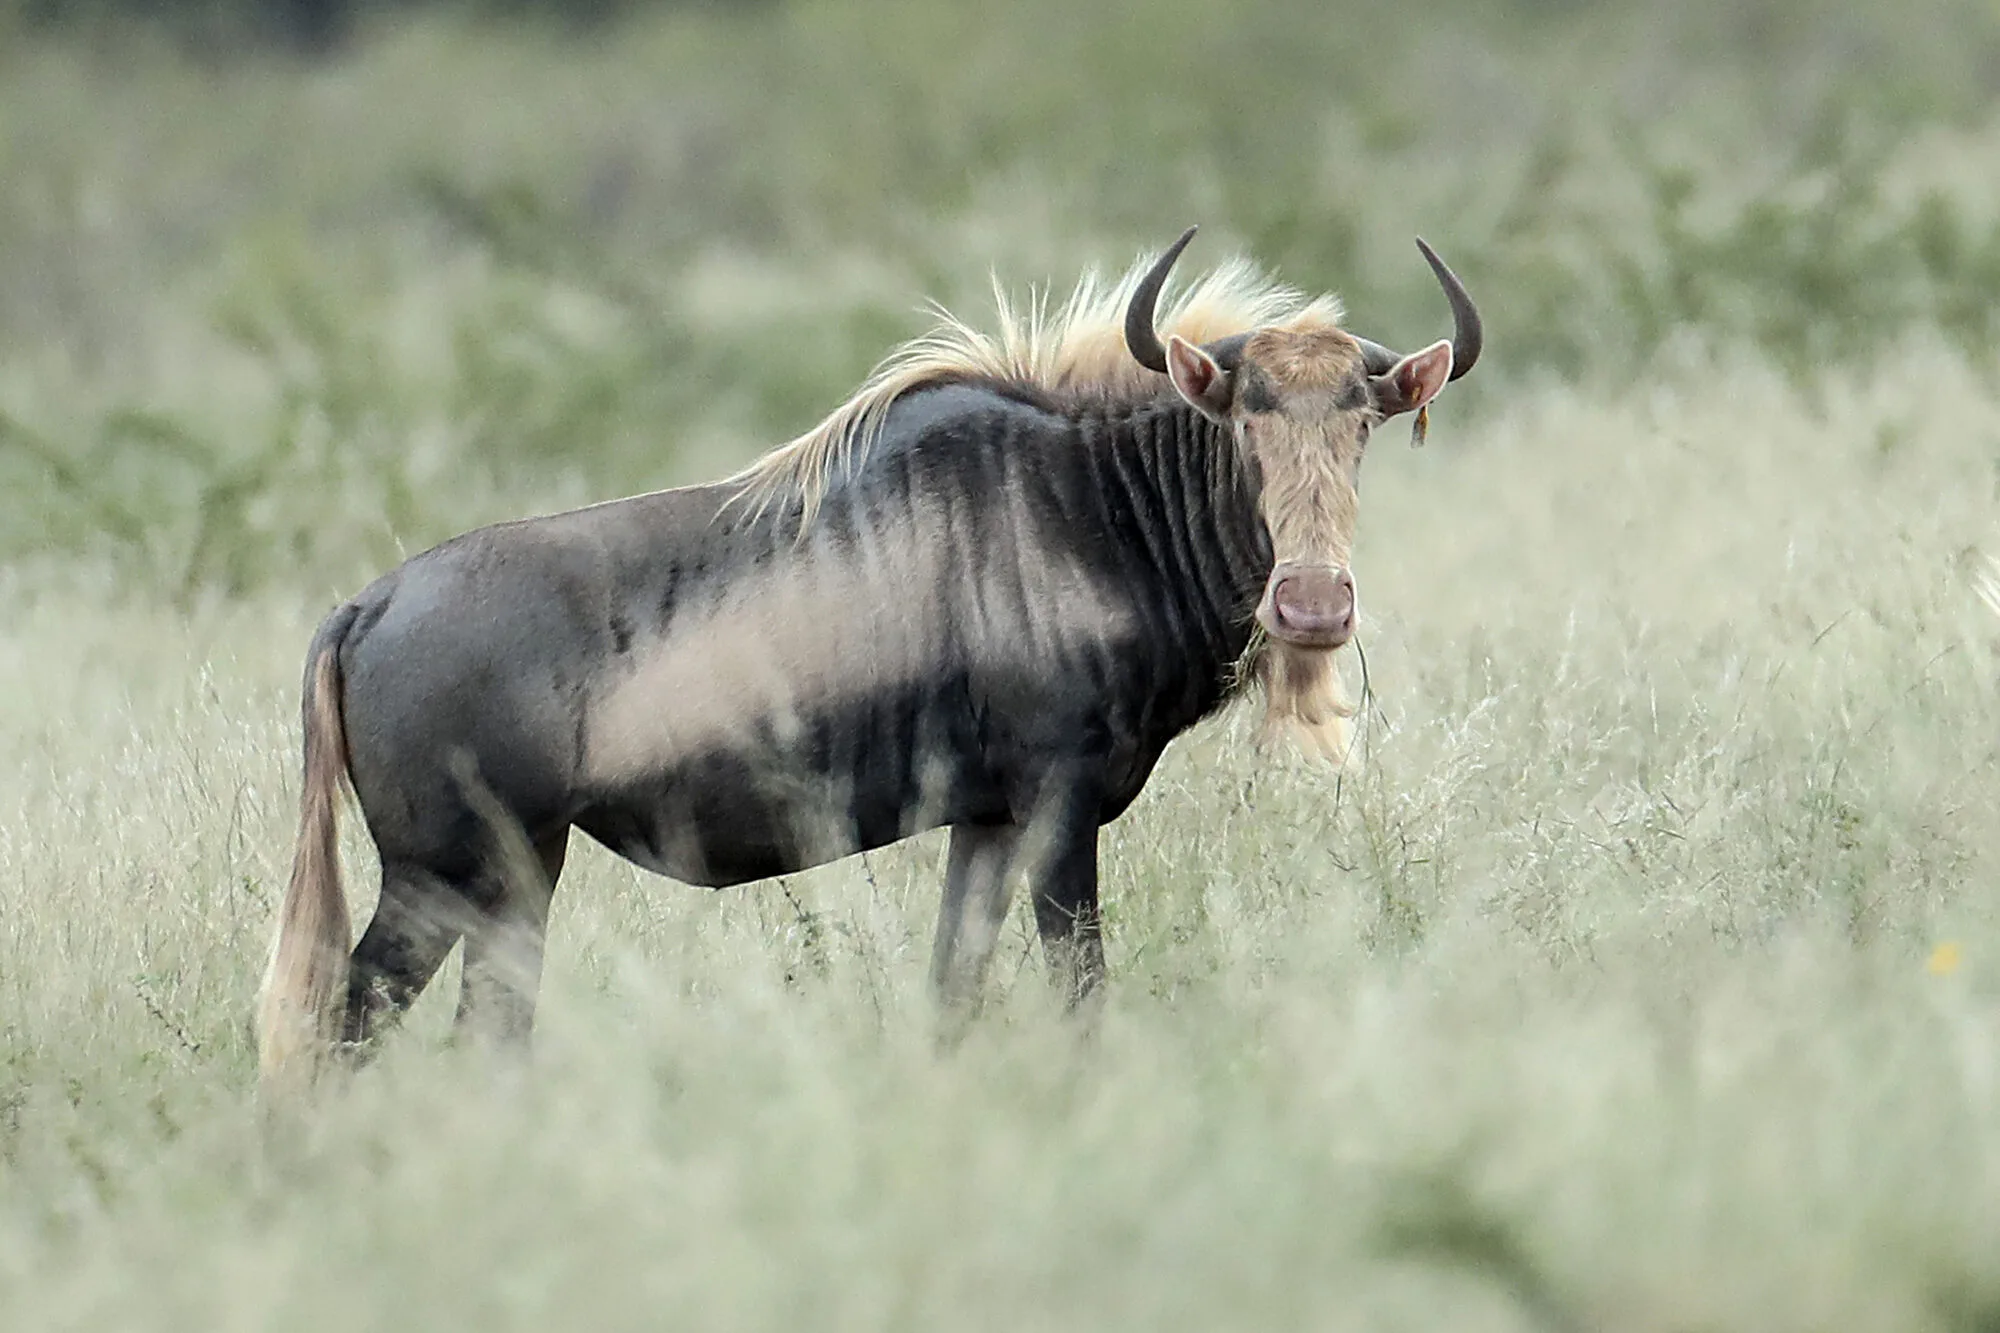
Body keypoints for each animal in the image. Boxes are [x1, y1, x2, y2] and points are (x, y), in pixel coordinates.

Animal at [256, 226, 1482, 1094]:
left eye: (1363, 422)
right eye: (1242, 417)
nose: (1312, 606)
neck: (1090, 509)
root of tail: (365, 607)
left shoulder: (988, 824)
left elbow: (953, 996)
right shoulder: (1060, 809)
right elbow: (1079, 992)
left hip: (513, 884)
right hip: (447, 880)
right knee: (338, 1029)